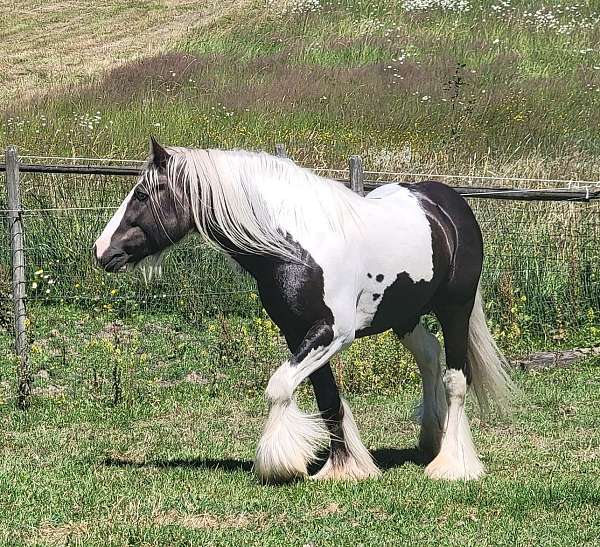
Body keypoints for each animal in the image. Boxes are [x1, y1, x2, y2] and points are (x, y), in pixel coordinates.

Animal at [95, 138, 516, 484]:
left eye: (142, 195)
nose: (101, 251)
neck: (297, 249)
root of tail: (448, 203)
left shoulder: (332, 333)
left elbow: (280, 386)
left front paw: (281, 463)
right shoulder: (297, 331)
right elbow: (327, 397)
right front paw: (345, 467)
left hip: (455, 309)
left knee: (456, 378)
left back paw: (452, 463)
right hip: (404, 316)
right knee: (429, 356)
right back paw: (431, 438)